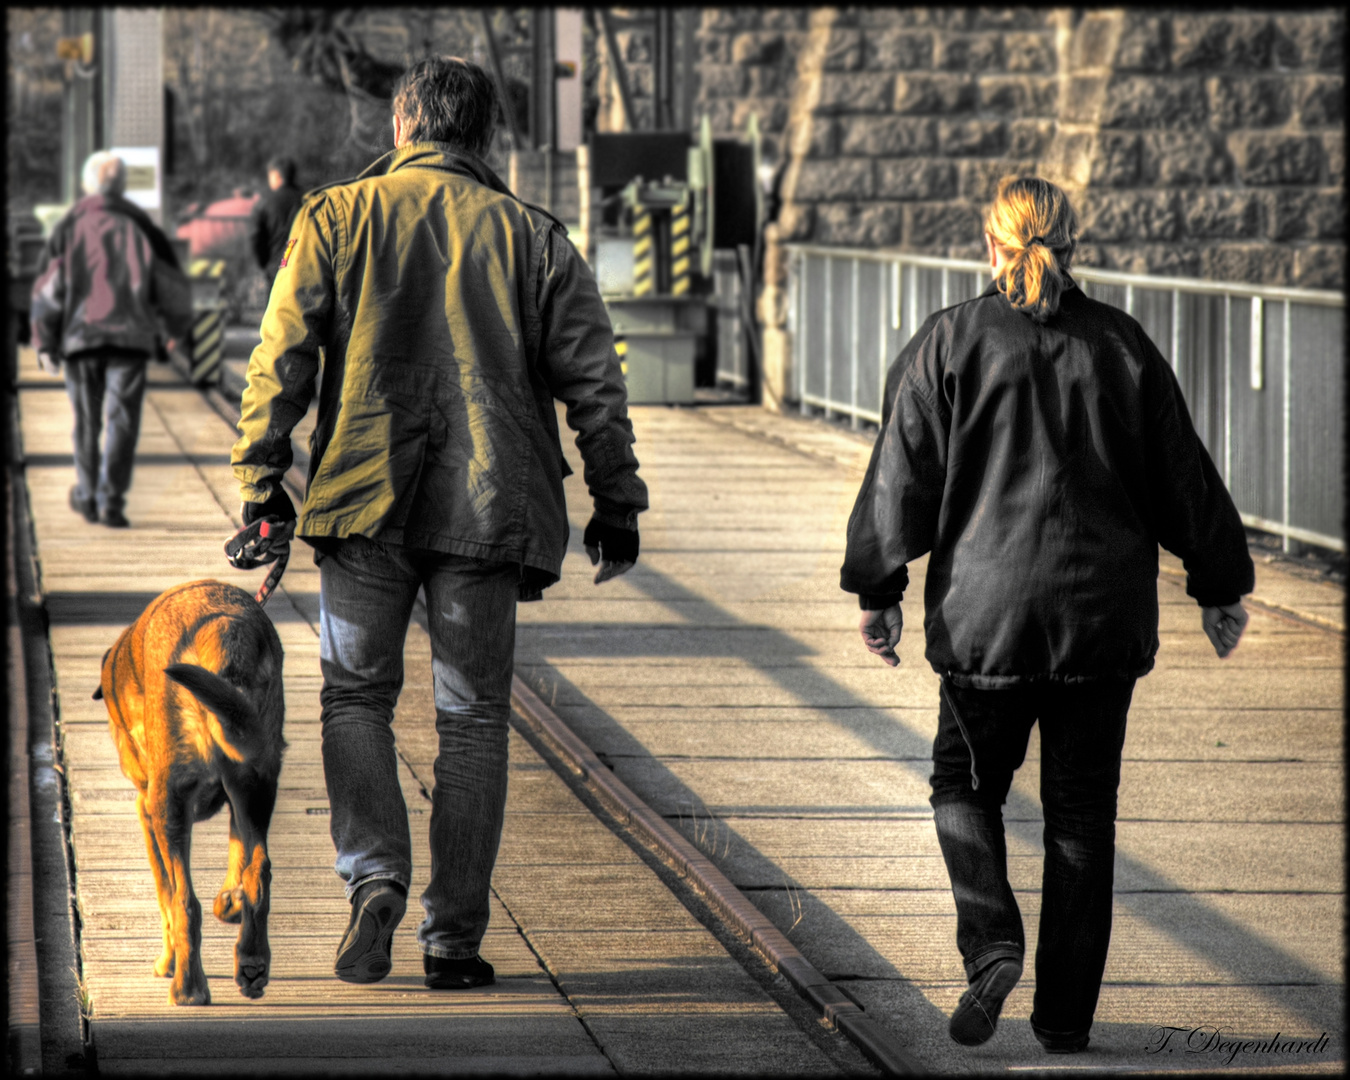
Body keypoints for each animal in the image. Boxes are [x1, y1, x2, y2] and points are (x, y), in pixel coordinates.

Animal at [95, 583, 287, 1004]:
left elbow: (166, 895)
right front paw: (230, 901)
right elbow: (238, 855)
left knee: (185, 902)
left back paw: (187, 987)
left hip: (169, 805)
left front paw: (166, 961)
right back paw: (252, 963)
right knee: (258, 872)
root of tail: (224, 629)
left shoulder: (147, 810)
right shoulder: (238, 796)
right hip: (258, 779)